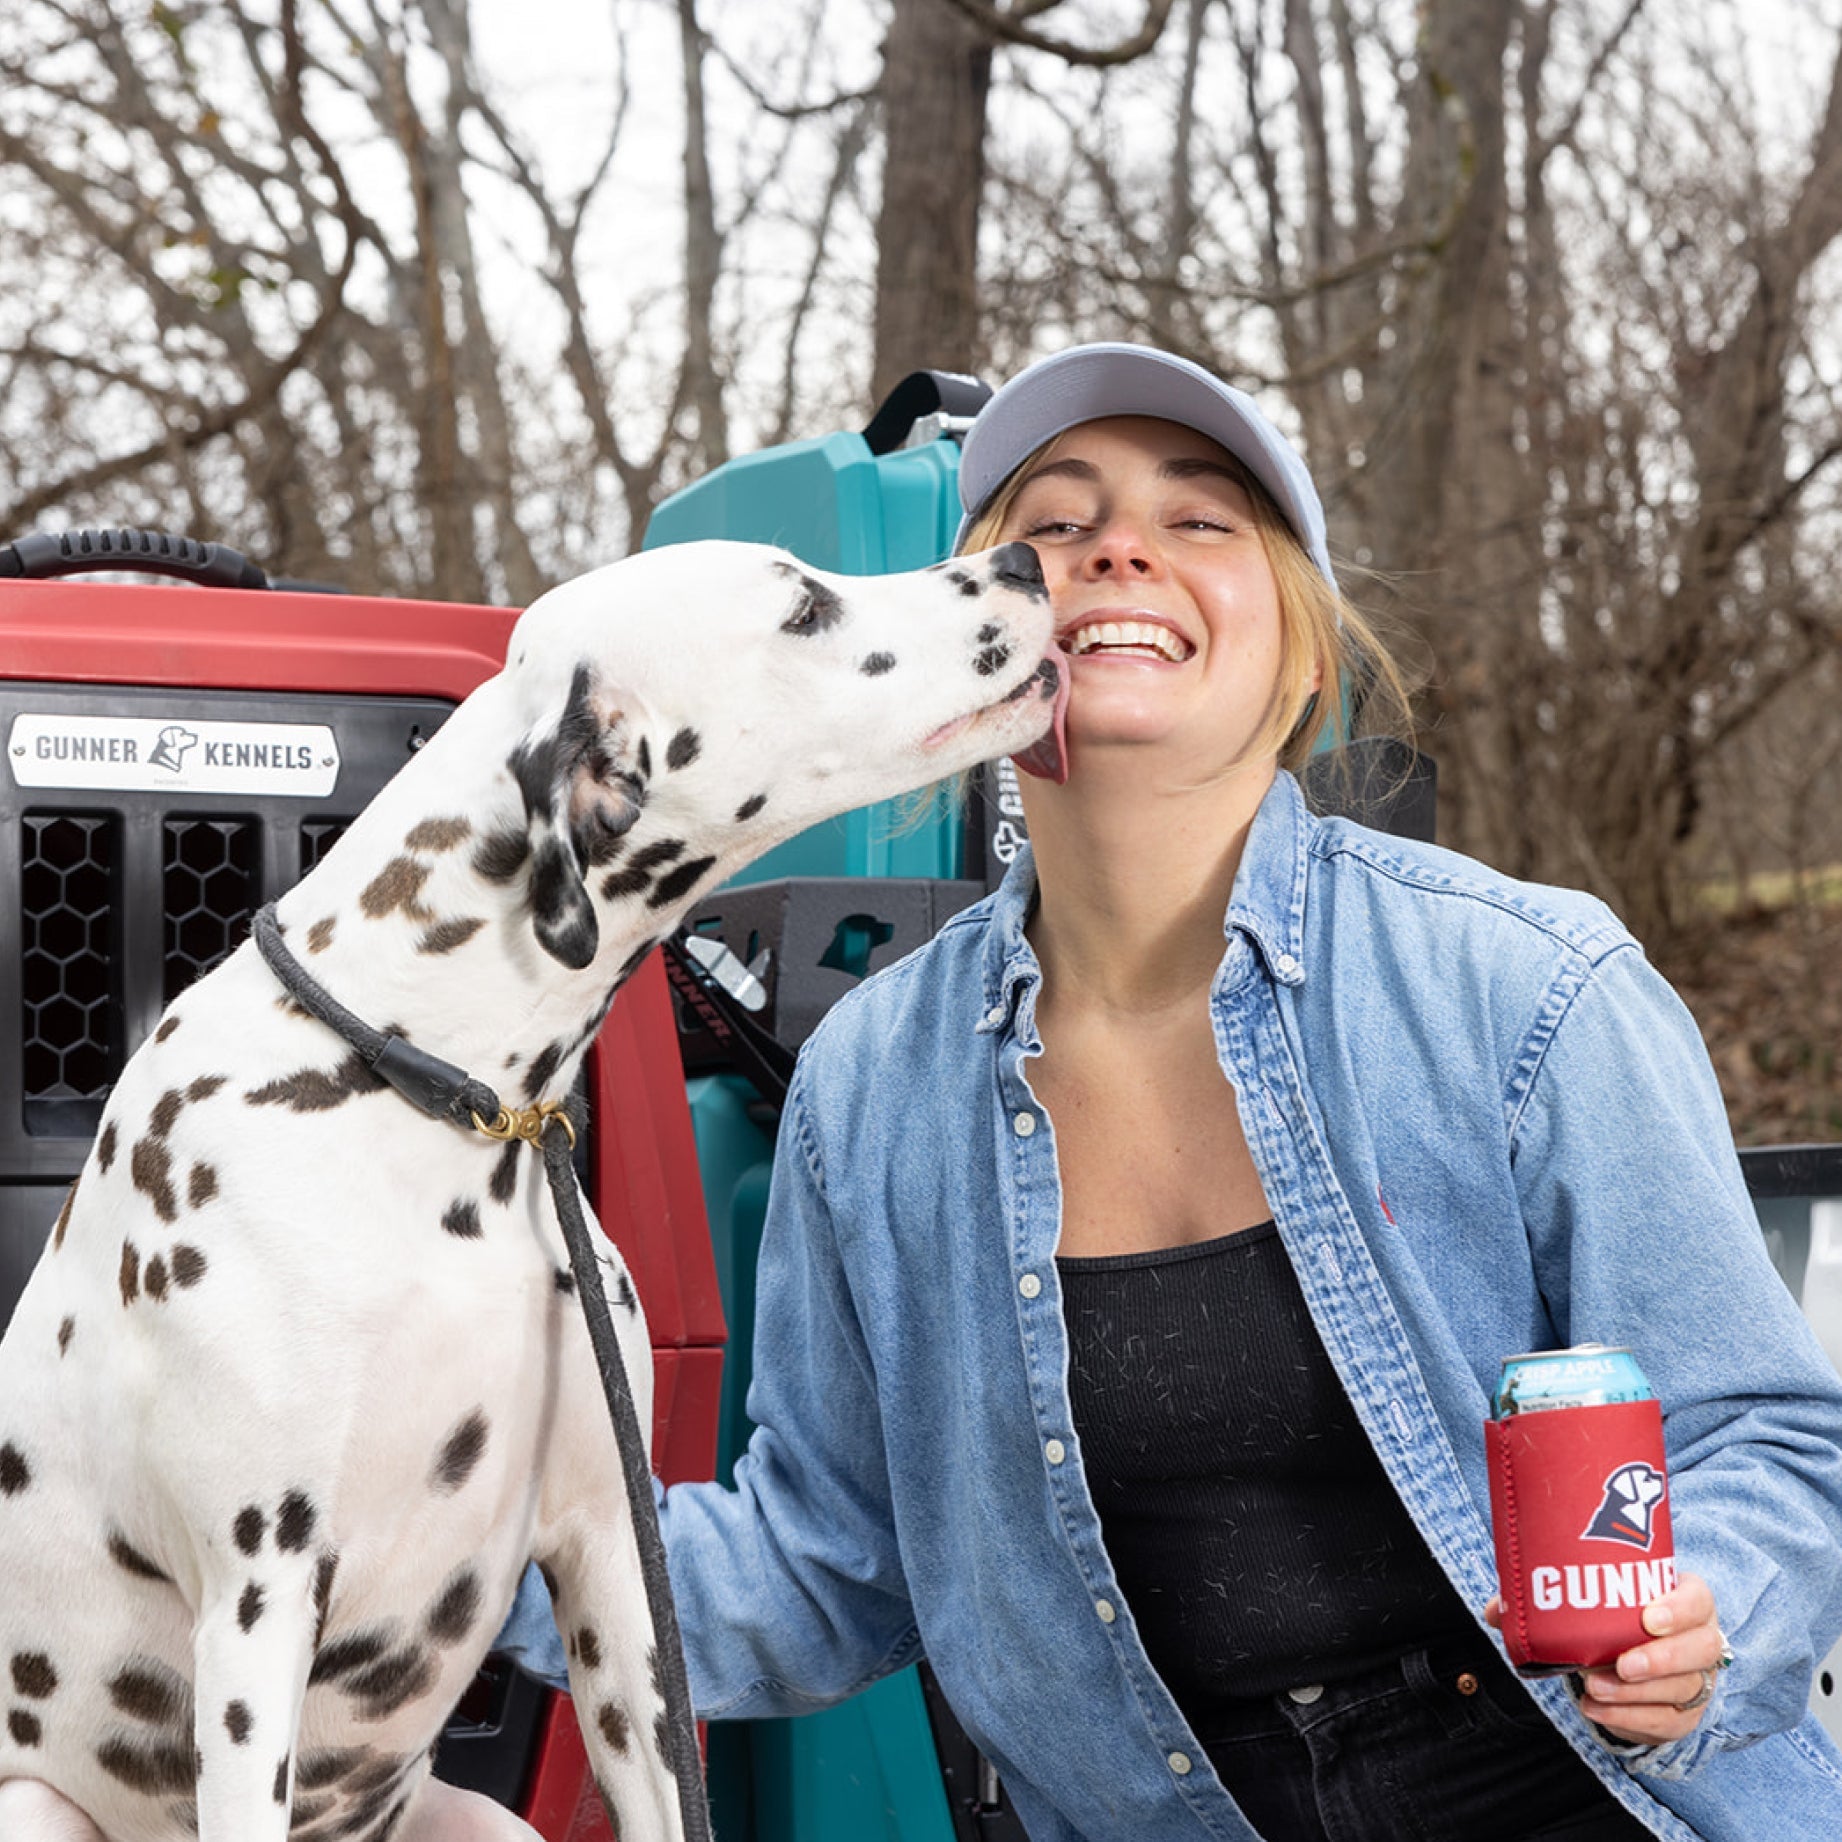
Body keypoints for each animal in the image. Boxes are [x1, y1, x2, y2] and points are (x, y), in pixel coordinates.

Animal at [0, 537, 1068, 1842]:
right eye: (805, 607)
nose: (1023, 559)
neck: (424, 1095)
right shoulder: (257, 1605)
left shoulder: (616, 1564)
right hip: (38, 1802)